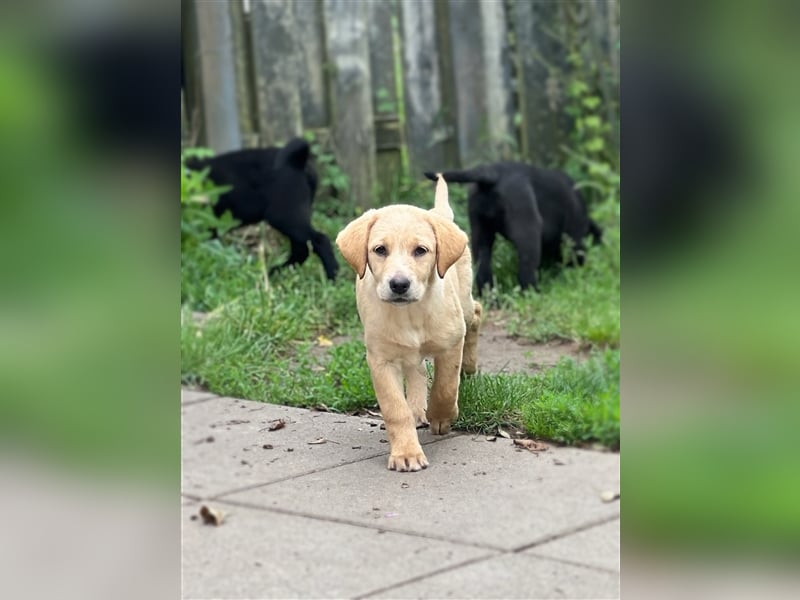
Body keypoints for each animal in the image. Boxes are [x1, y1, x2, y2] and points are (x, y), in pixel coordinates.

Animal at [187, 138, 338, 282]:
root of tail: (297, 161)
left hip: (285, 216)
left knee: (319, 240)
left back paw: (332, 278)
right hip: (293, 217)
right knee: (301, 248)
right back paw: (275, 272)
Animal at [332, 176, 478, 472]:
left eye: (421, 251)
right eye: (380, 250)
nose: (399, 284)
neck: (410, 314)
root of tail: (437, 213)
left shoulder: (451, 343)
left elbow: (446, 387)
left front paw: (442, 416)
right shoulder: (380, 360)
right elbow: (395, 409)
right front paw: (406, 453)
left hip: (465, 306)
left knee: (477, 314)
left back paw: (469, 367)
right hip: (406, 352)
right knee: (416, 370)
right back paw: (417, 408)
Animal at [424, 165, 600, 292]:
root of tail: (494, 173)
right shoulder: (575, 235)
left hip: (480, 231)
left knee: (483, 265)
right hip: (528, 231)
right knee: (526, 267)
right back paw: (532, 291)